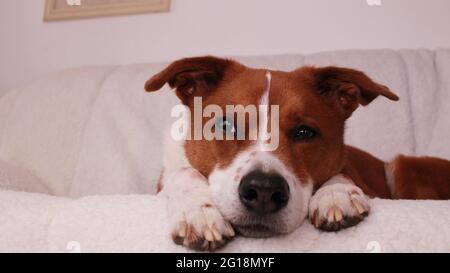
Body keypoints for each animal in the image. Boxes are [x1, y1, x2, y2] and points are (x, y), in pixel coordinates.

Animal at [143, 55, 450, 251]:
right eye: (225, 125)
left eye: (305, 132)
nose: (263, 191)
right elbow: (184, 172)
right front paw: (199, 211)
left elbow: (342, 172)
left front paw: (336, 193)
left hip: (403, 165)